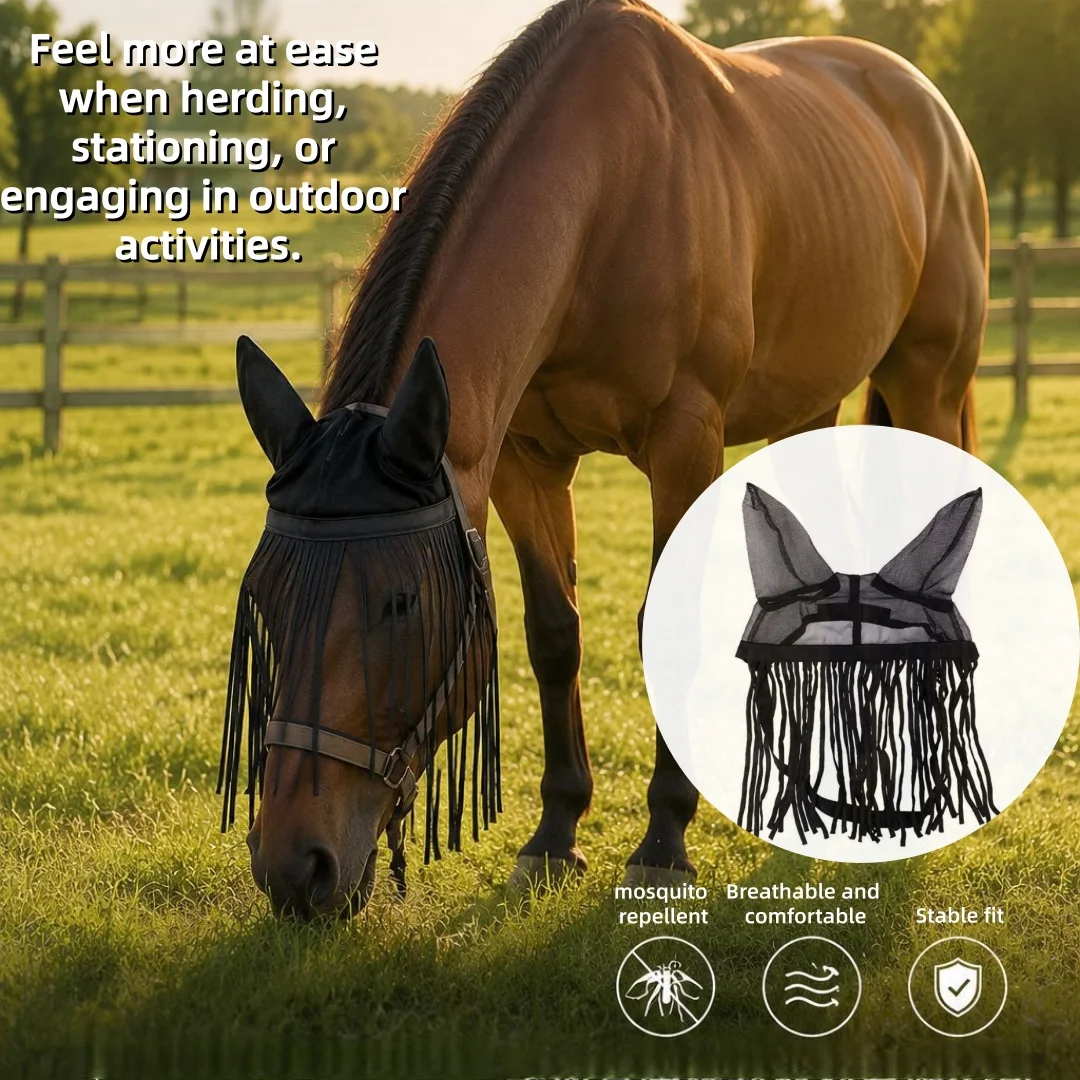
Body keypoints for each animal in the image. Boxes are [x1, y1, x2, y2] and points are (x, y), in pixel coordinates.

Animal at [230, 0, 988, 917]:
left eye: (399, 605)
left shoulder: (685, 441)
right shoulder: (523, 463)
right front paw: (555, 834)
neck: (606, 201)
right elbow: (554, 634)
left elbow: (666, 625)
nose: (292, 866)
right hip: (808, 406)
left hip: (926, 383)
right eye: (268, 601)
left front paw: (663, 844)